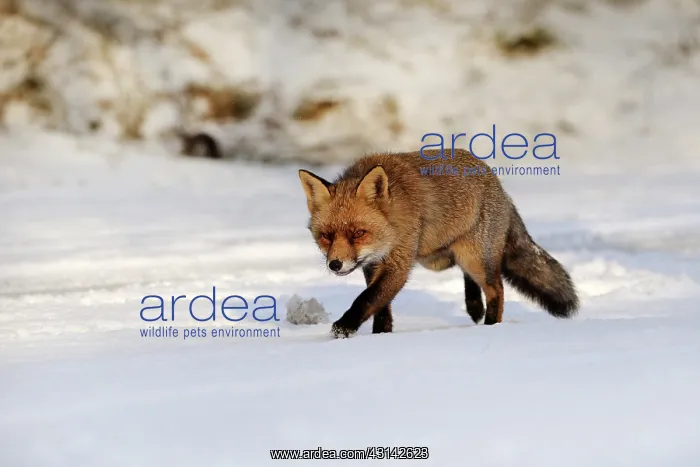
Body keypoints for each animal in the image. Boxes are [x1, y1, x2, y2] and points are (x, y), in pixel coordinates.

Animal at [298, 148, 579, 338]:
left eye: (358, 233)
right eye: (326, 235)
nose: (335, 264)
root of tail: (498, 185)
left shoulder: (399, 263)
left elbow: (367, 299)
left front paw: (344, 328)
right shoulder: (373, 264)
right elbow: (381, 304)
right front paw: (382, 335)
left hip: (474, 257)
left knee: (496, 288)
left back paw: (490, 326)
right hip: (443, 257)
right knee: (471, 279)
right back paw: (474, 307)